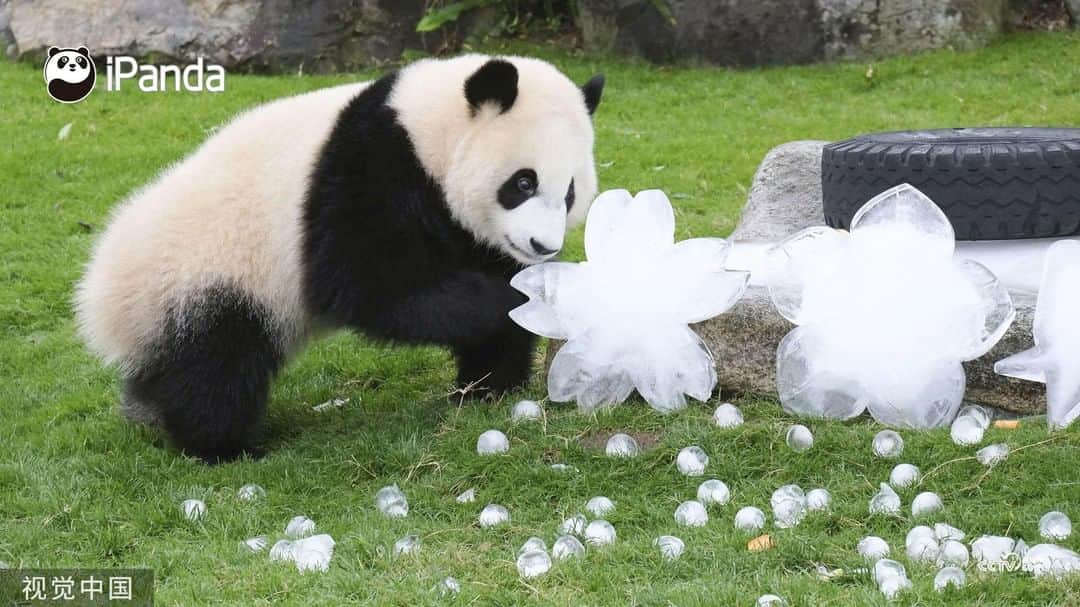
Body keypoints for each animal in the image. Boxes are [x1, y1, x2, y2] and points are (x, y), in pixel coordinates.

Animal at [78, 56, 600, 460]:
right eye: (524, 182)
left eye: (571, 193)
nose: (543, 246)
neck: (426, 128)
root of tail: (104, 301)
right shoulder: (365, 174)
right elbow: (372, 288)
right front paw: (509, 302)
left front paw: (488, 385)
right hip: (206, 276)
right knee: (216, 367)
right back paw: (223, 447)